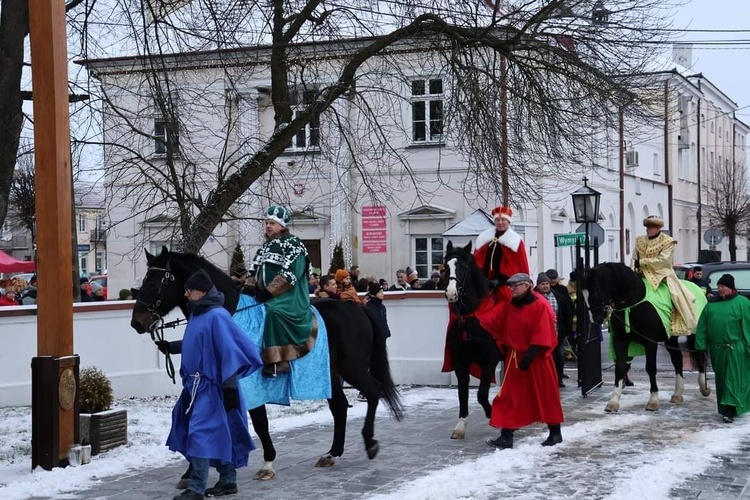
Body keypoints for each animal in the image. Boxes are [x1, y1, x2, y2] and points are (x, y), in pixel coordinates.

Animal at [132, 246, 408, 480]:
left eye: (154, 282)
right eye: (142, 282)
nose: (137, 322)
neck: (227, 312)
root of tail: (358, 309)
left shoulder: (248, 383)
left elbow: (259, 423)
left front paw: (267, 463)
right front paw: (193, 470)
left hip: (352, 369)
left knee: (373, 391)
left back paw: (369, 442)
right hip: (329, 374)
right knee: (340, 407)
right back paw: (332, 454)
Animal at [444, 240, 502, 440]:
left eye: (463, 266)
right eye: (445, 266)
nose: (451, 293)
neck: (470, 319)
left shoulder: (491, 359)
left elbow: (482, 394)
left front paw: (492, 413)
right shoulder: (460, 361)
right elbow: (462, 392)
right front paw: (460, 425)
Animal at [588, 264, 712, 412]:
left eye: (597, 288)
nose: (595, 318)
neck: (633, 302)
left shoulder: (650, 342)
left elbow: (651, 368)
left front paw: (653, 400)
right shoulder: (620, 340)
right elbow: (620, 367)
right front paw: (613, 402)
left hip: (694, 333)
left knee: (699, 356)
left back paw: (704, 387)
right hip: (670, 338)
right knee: (677, 359)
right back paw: (677, 394)